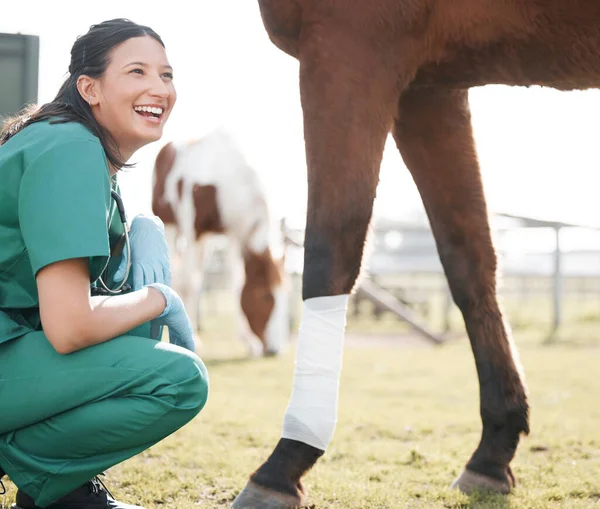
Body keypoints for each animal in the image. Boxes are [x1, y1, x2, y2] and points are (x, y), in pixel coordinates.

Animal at [230, 0, 600, 508]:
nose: (264, 347)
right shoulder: (429, 88)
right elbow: (469, 260)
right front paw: (492, 452)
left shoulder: (350, 47)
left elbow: (331, 252)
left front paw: (284, 463)